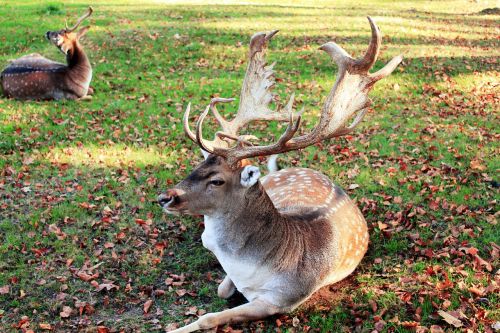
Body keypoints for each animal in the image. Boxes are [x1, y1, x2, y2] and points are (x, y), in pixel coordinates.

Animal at [158, 16, 400, 330]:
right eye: (197, 166)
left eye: (217, 180)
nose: (165, 197)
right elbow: (222, 289)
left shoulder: (281, 300)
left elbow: (209, 317)